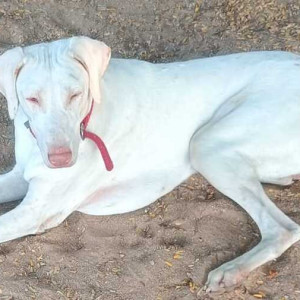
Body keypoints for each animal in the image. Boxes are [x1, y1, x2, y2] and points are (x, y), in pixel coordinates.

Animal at [0, 36, 300, 292]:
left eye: (76, 94)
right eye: (32, 99)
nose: (60, 158)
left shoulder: (37, 211)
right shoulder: (19, 176)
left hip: (205, 144)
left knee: (283, 229)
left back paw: (231, 271)